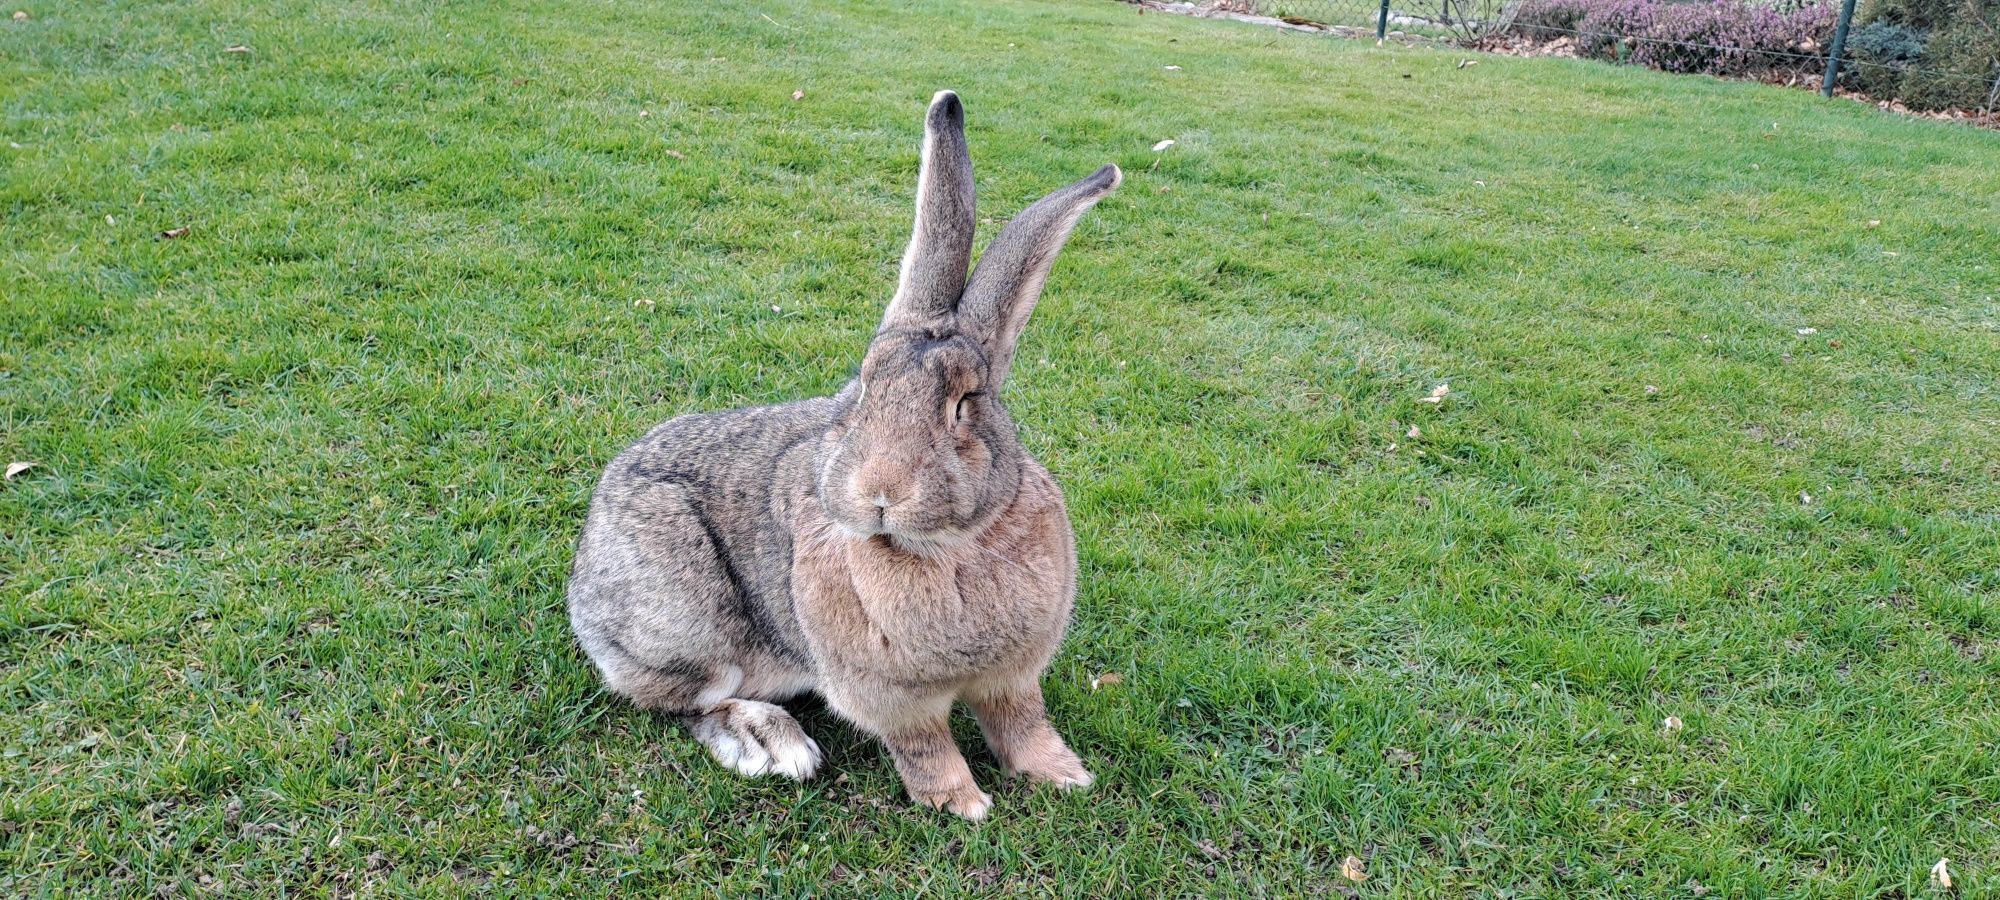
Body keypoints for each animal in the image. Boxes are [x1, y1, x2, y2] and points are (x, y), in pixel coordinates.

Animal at [572, 91, 1120, 824]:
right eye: (862, 389)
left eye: (964, 404)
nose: (879, 490)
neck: (947, 548)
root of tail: (583, 567)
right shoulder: (893, 699)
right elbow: (925, 747)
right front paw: (963, 804)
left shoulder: (1013, 678)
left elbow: (1023, 723)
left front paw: (1063, 775)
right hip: (688, 624)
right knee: (684, 702)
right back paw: (775, 745)